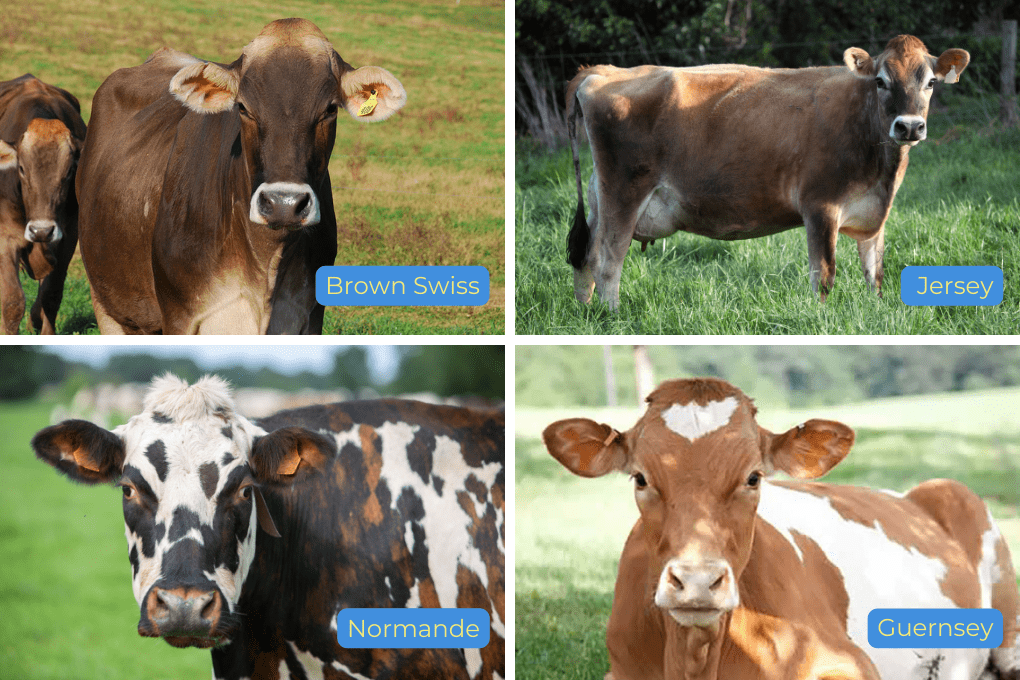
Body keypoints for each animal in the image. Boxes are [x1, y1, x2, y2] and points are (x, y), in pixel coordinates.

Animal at [0, 74, 85, 334]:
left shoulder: (69, 235)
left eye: (69, 172)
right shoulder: (5, 237)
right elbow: (12, 302)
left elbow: (51, 294)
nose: (41, 230)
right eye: (21, 168)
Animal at [79, 17, 405, 334]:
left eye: (329, 110)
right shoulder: (179, 316)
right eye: (244, 107)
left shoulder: (309, 317)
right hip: (107, 302)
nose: (283, 204)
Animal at [567, 36, 971, 311]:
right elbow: (823, 274)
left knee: (586, 255)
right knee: (608, 259)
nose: (909, 126)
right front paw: (821, 319)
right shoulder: (820, 205)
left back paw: (586, 314)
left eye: (930, 83)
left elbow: (875, 272)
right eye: (881, 81)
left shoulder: (875, 213)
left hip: (601, 194)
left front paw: (875, 312)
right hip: (624, 189)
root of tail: (602, 72)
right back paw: (613, 316)